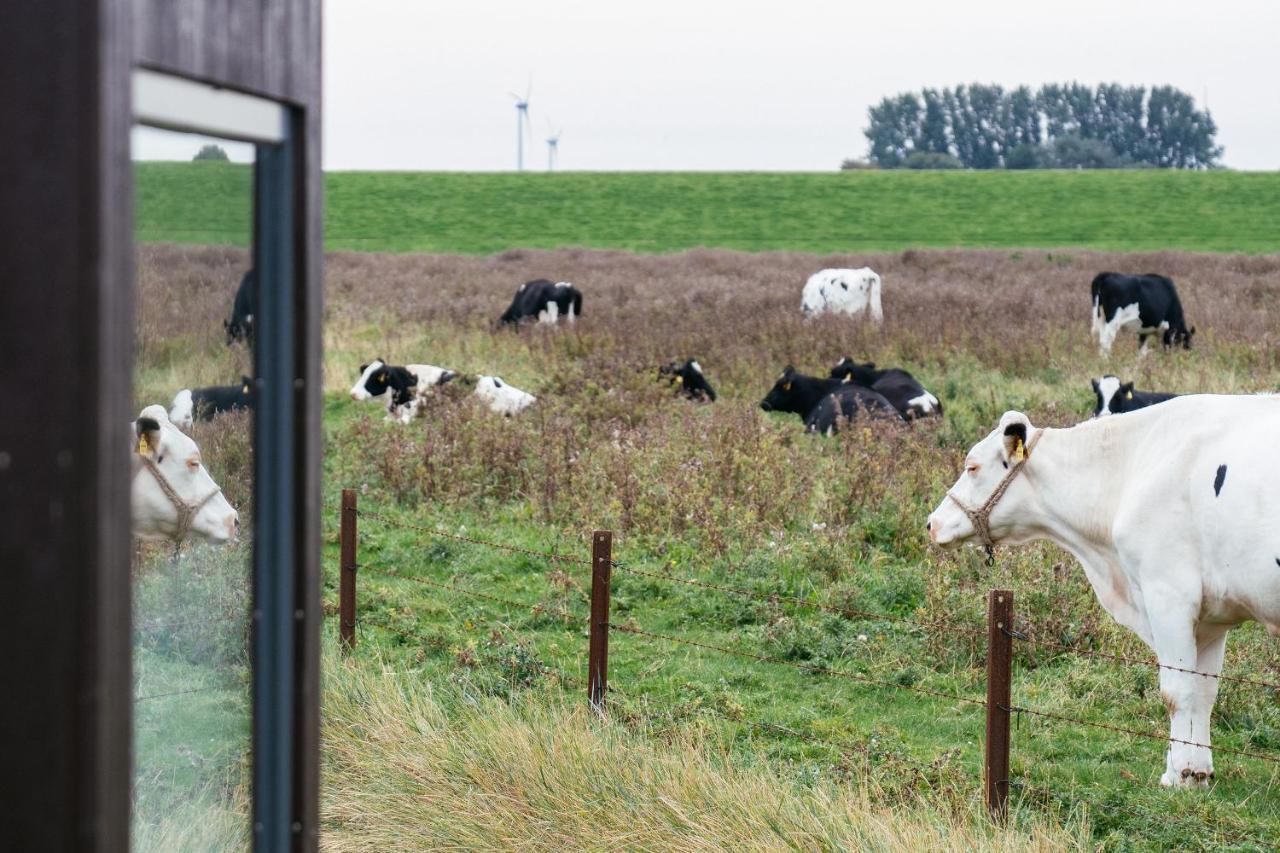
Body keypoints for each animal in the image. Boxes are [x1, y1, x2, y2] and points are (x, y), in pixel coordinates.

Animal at [926, 399, 1280, 783]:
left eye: (972, 466)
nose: (932, 523)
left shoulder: (1168, 594)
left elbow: (1176, 691)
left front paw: (1177, 776)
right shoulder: (1212, 615)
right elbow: (1204, 692)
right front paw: (1198, 772)